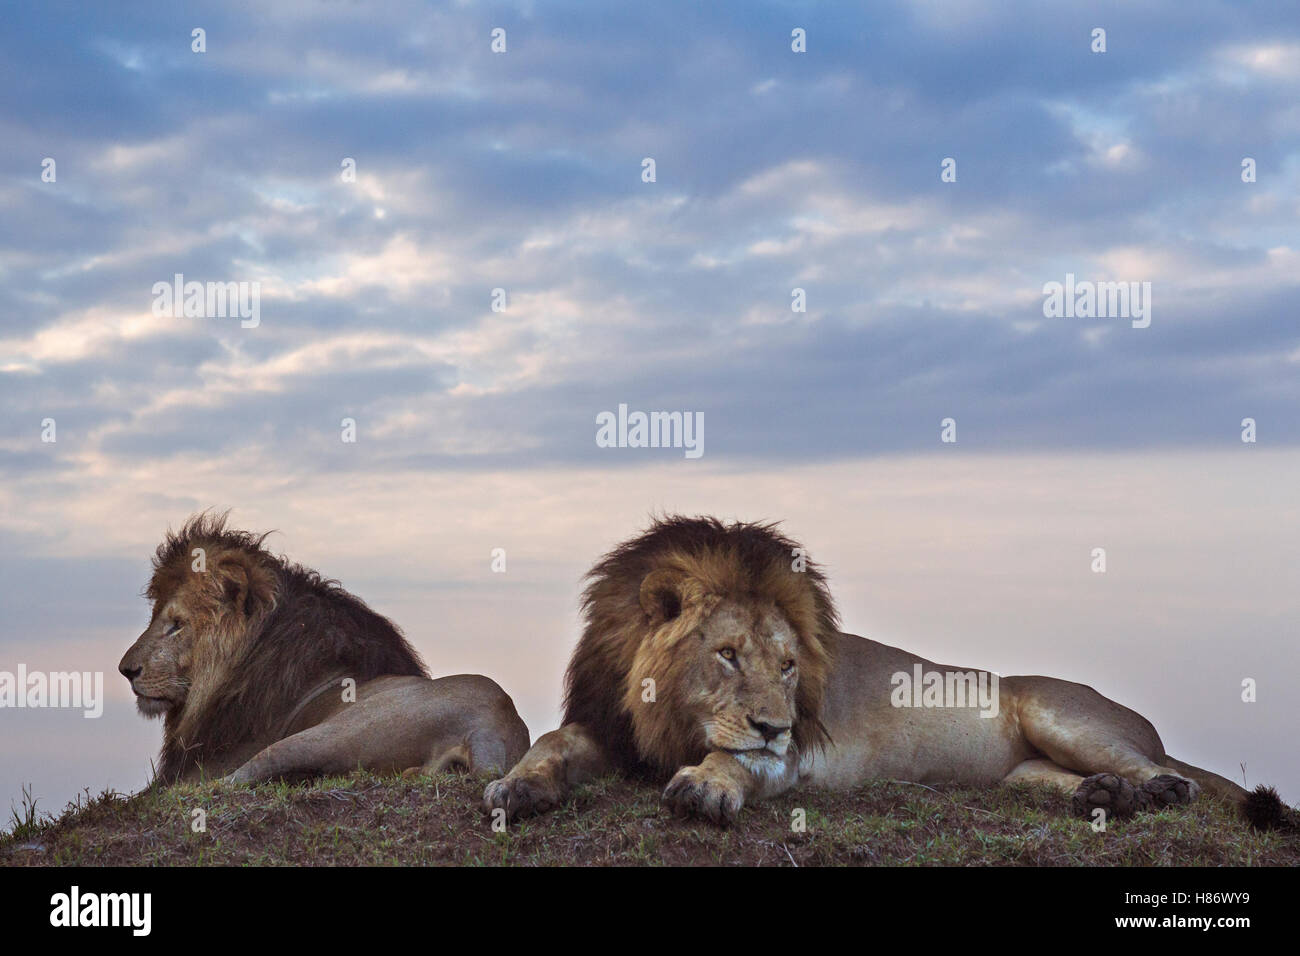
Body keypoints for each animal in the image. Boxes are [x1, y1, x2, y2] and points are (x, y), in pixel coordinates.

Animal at [485, 515, 1288, 829]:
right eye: (727, 653)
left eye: (789, 666)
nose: (774, 724)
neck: (662, 718)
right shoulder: (606, 723)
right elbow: (551, 744)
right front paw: (516, 787)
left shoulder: (798, 755)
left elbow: (738, 760)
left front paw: (707, 787)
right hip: (1020, 772)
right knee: (1054, 780)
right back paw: (1106, 796)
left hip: (1058, 711)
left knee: (1165, 773)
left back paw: (1156, 789)